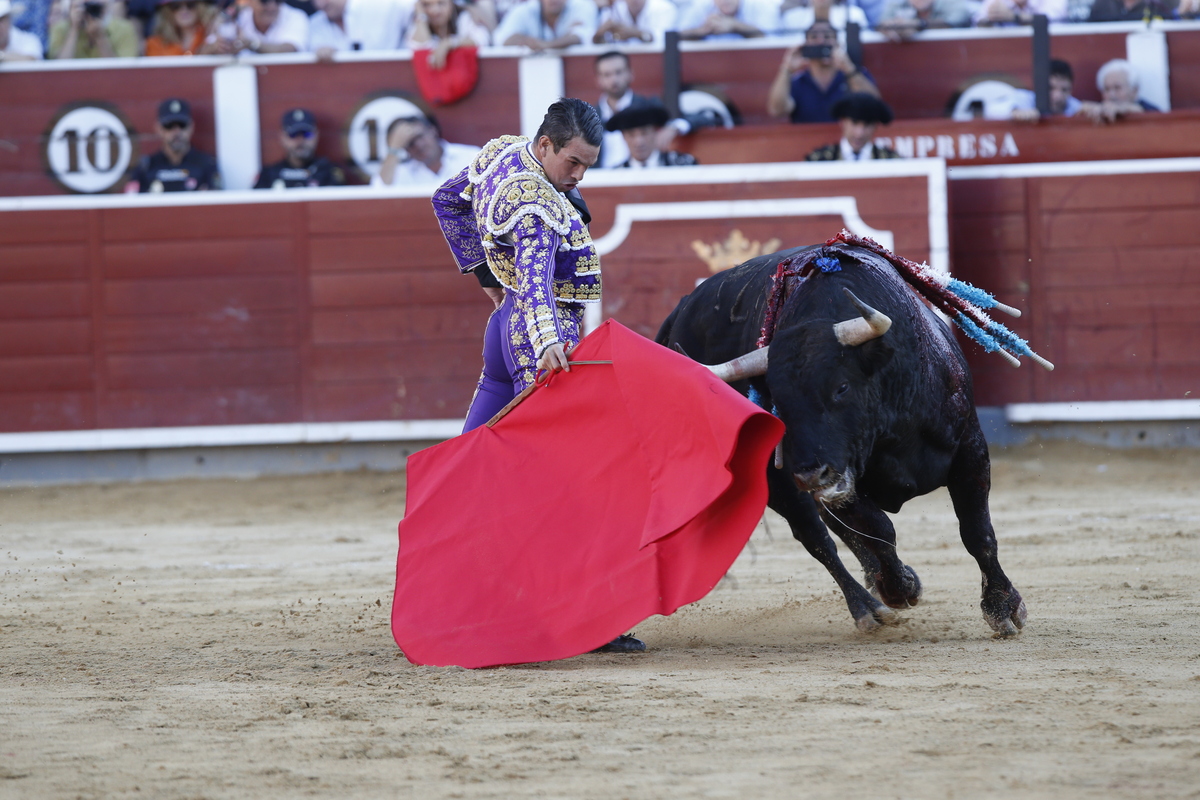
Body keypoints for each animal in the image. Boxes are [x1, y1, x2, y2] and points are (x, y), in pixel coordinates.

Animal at [662, 235, 1036, 633]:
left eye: (841, 387)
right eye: (777, 401)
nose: (811, 474)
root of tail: (681, 310)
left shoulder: (970, 448)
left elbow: (976, 531)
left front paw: (1002, 606)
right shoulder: (839, 476)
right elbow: (879, 530)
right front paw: (899, 587)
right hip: (777, 481)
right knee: (818, 539)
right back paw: (867, 606)